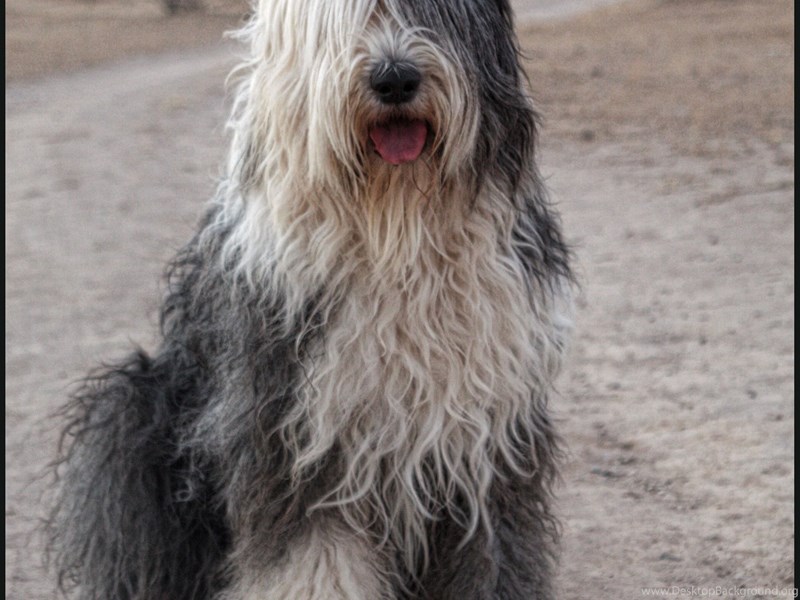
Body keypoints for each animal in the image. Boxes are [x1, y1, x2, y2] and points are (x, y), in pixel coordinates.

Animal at [48, 0, 573, 598]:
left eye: (434, 12)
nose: (395, 79)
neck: (396, 232)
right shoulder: (295, 428)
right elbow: (314, 556)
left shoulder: (487, 432)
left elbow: (491, 554)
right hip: (135, 410)